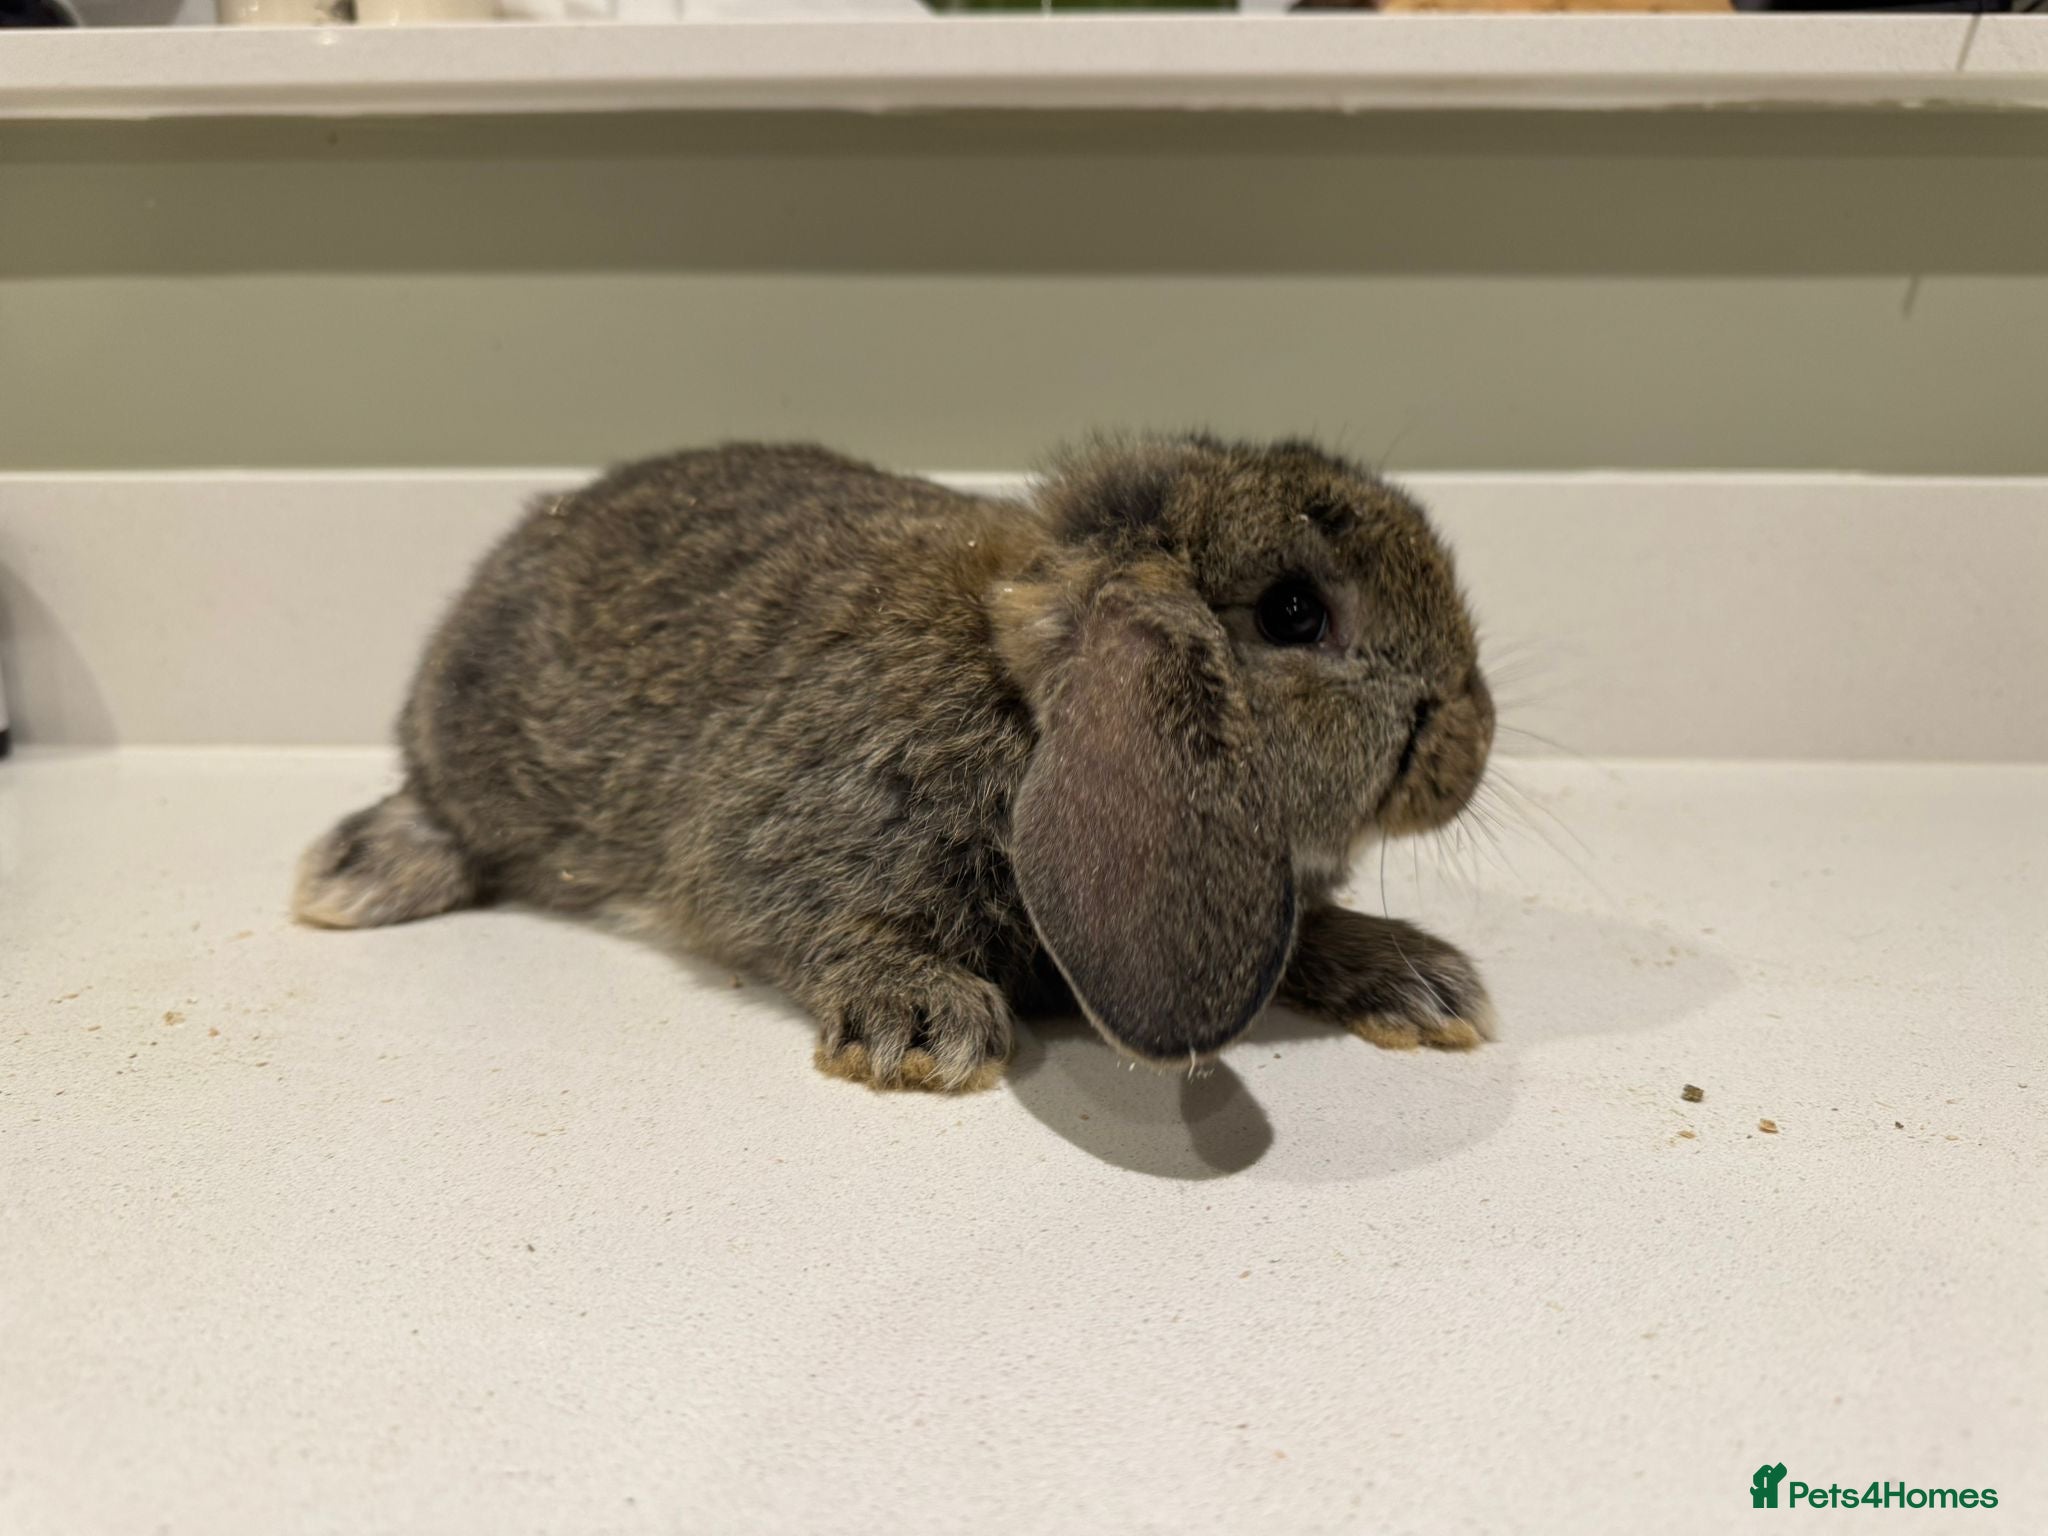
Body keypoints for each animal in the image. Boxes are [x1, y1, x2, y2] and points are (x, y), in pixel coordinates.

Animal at [294, 435, 1496, 1091]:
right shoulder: (798, 840)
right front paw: (922, 1026)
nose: (1472, 739)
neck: (1024, 706)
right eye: (1294, 612)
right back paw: (351, 878)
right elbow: (827, 923)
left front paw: (1420, 981)